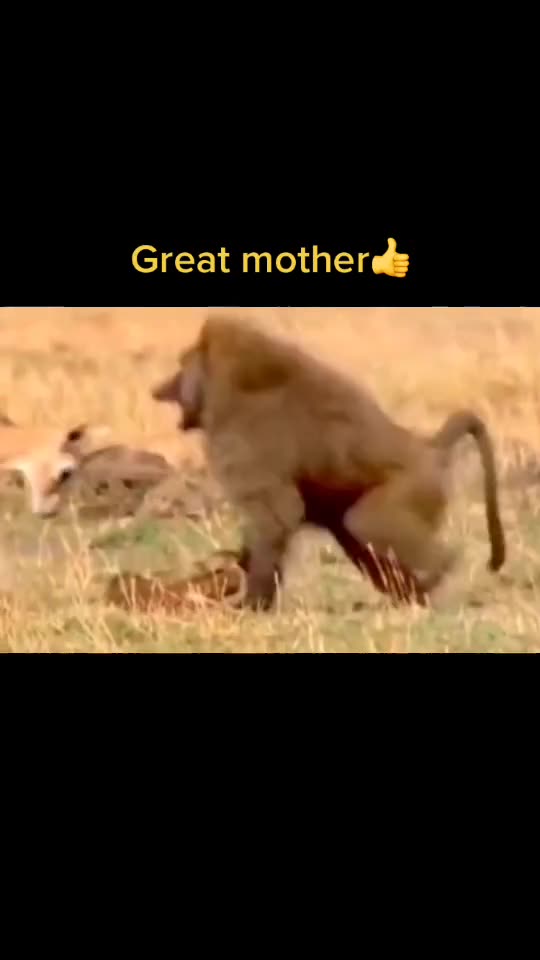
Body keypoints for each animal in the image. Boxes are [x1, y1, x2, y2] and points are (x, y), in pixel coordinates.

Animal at [151, 314, 506, 611]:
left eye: (182, 364)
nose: (158, 389)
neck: (237, 383)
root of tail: (427, 446)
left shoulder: (240, 441)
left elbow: (277, 515)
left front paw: (251, 604)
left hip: (414, 487)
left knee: (367, 524)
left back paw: (436, 576)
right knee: (353, 533)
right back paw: (409, 596)